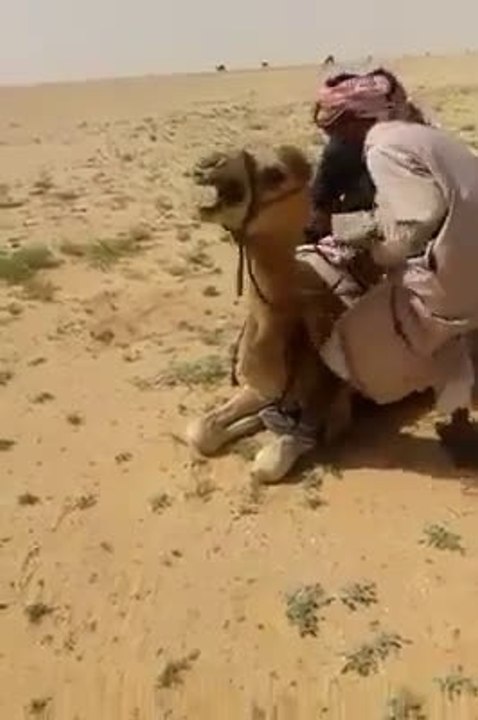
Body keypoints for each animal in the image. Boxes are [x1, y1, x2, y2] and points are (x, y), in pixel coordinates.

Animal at [185, 145, 382, 481]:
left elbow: (268, 464)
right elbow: (200, 431)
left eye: (276, 174)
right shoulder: (263, 388)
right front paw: (248, 422)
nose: (209, 164)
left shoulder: (328, 403)